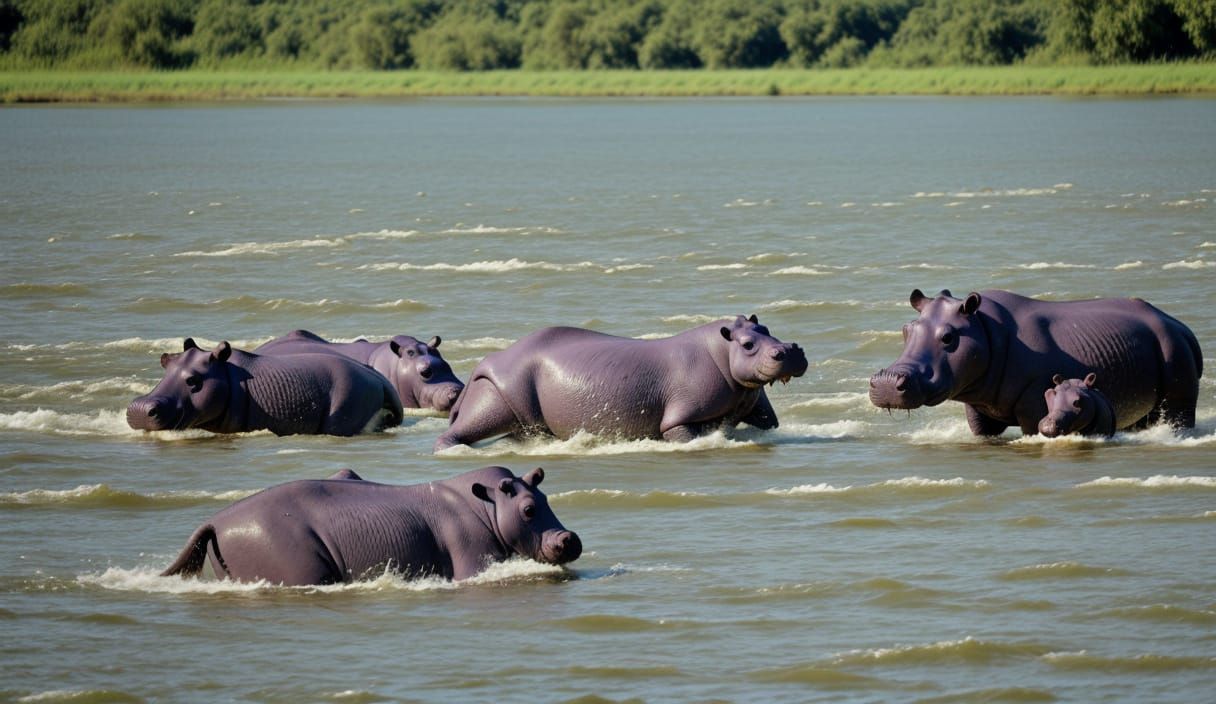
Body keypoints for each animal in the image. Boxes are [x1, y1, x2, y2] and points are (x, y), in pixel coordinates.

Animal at [160, 466, 582, 585]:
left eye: (546, 498)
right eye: (528, 509)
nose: (570, 538)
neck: (489, 505)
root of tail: (213, 522)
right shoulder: (473, 560)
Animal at [434, 315, 808, 451]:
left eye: (766, 328)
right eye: (748, 345)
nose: (791, 350)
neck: (722, 349)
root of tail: (486, 361)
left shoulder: (753, 403)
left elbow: (769, 424)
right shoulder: (679, 419)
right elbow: (683, 434)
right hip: (500, 391)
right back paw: (453, 449)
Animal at [869, 289, 1202, 436]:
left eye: (949, 337)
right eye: (906, 330)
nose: (886, 383)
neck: (983, 326)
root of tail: (1181, 326)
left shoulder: (1034, 404)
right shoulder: (977, 400)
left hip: (1174, 348)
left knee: (1179, 406)